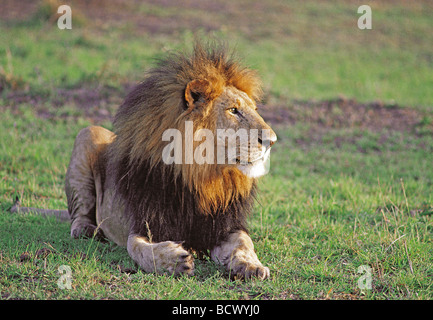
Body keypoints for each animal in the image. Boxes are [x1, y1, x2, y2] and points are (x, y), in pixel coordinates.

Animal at [16, 43, 276, 280]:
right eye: (233, 110)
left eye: (254, 109)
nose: (272, 140)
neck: (202, 177)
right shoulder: (143, 223)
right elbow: (138, 248)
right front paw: (175, 261)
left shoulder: (224, 226)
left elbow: (244, 243)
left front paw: (251, 266)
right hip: (86, 134)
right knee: (79, 212)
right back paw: (86, 230)